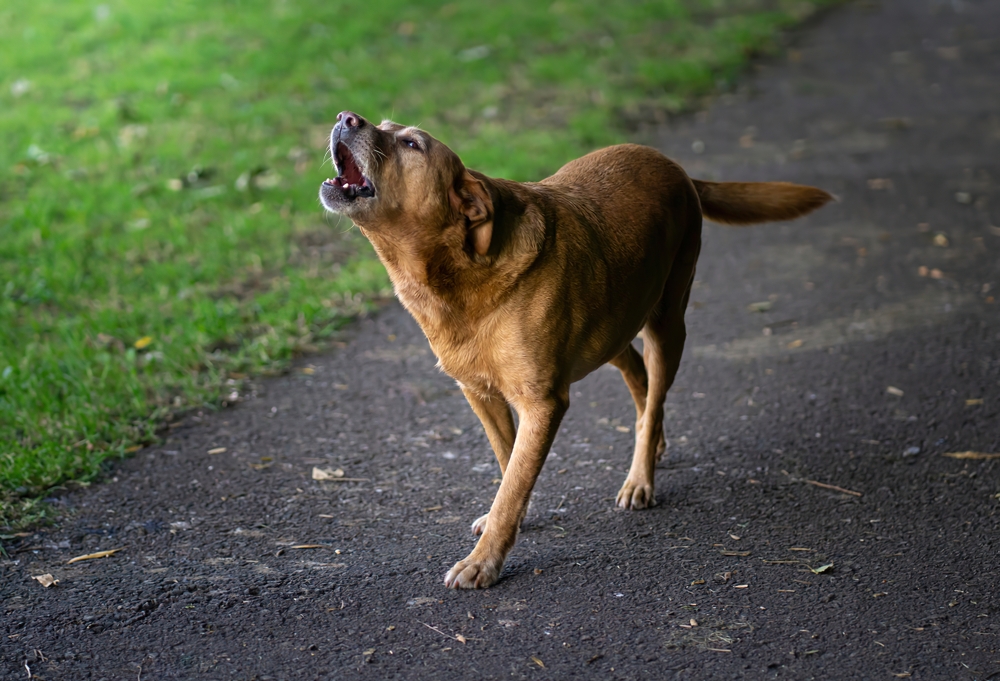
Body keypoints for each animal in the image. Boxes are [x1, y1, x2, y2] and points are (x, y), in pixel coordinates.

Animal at [318, 110, 828, 584]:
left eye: (411, 144)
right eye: (383, 125)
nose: (346, 117)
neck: (459, 276)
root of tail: (675, 166)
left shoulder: (543, 402)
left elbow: (514, 482)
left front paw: (484, 561)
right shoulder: (481, 395)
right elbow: (509, 465)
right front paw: (510, 522)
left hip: (667, 324)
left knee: (654, 395)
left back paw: (641, 477)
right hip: (611, 324)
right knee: (640, 379)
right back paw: (655, 444)